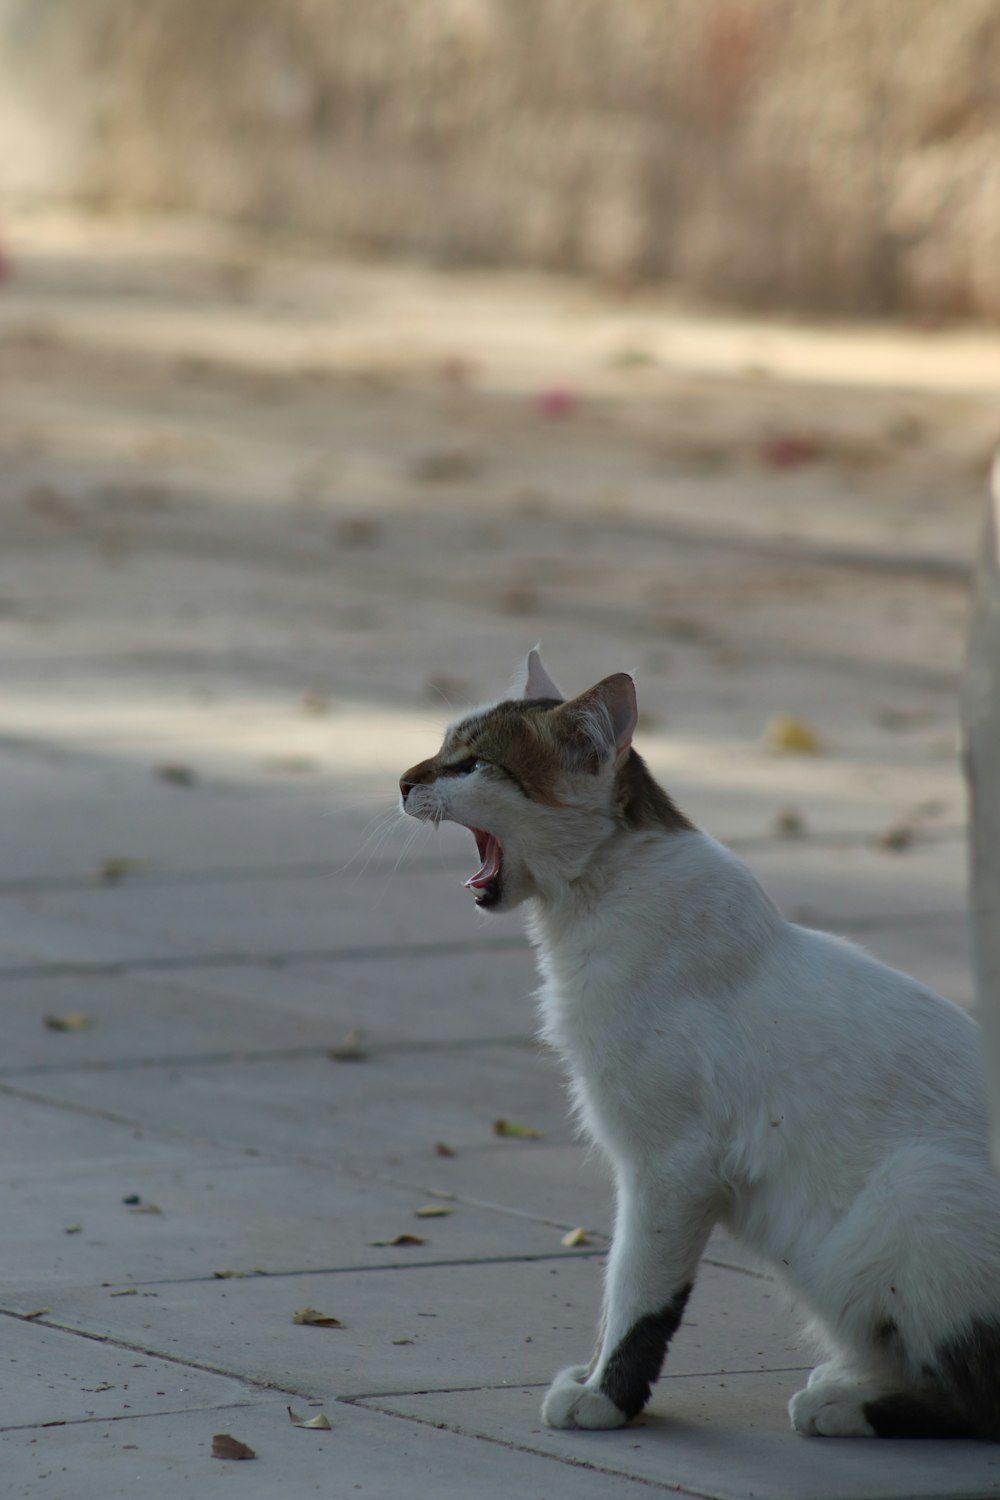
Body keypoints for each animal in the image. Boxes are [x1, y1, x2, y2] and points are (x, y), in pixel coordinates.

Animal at [398, 654, 1000, 1440]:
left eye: (471, 764)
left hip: (915, 1193)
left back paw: (846, 1405)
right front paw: (596, 1378)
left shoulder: (671, 1168)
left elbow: (637, 1289)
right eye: (442, 747)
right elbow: (617, 1287)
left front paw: (607, 1396)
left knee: (982, 1394)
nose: (402, 781)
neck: (597, 897)